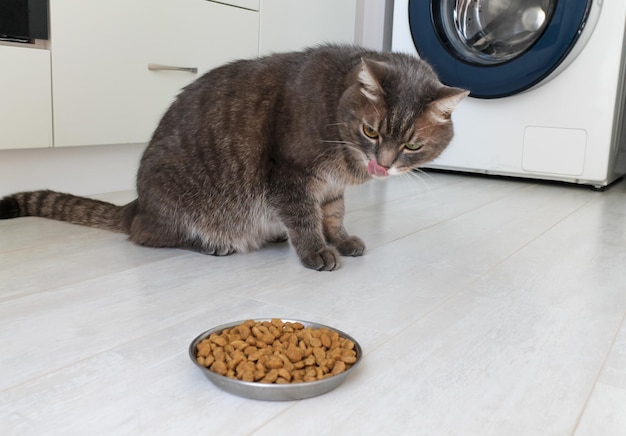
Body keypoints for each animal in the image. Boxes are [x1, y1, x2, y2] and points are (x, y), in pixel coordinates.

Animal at [0, 44, 466, 270]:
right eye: (371, 131)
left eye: (411, 145)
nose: (382, 164)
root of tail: (137, 204)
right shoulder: (289, 175)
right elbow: (304, 216)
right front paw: (316, 250)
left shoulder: (331, 189)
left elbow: (333, 214)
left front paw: (340, 238)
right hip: (178, 204)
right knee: (147, 235)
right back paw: (213, 244)